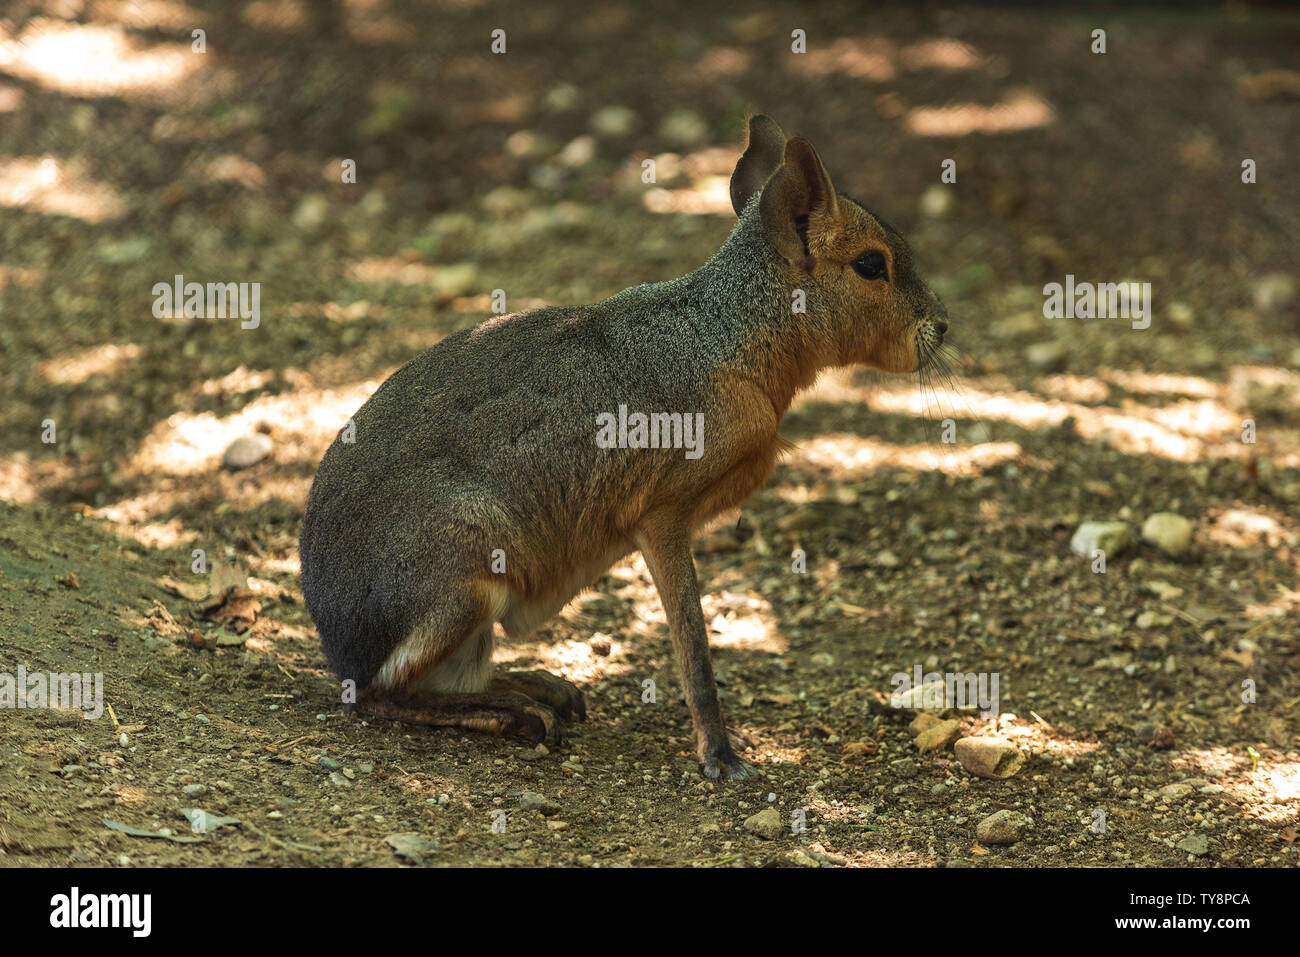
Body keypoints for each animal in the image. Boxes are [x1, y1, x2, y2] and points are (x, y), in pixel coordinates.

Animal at [305, 115, 956, 780]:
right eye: (871, 264)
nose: (942, 326)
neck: (729, 339)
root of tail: (336, 640)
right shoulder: (660, 513)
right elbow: (694, 643)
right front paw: (720, 755)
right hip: (469, 563)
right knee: (383, 694)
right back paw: (519, 712)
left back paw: (542, 688)